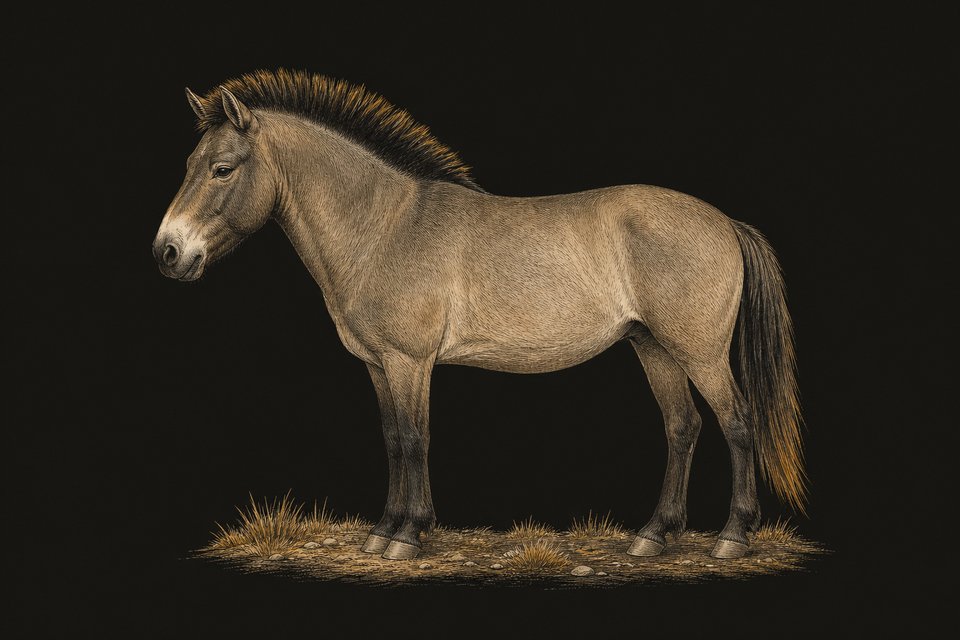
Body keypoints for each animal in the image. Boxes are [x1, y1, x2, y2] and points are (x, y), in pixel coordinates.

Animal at [152, 69, 805, 561]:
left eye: (222, 167)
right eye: (189, 161)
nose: (168, 252)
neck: (385, 225)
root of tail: (724, 222)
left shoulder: (410, 361)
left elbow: (414, 438)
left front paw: (408, 536)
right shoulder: (377, 366)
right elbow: (391, 439)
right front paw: (382, 532)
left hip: (699, 351)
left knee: (736, 422)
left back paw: (731, 538)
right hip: (653, 347)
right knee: (682, 427)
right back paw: (653, 536)